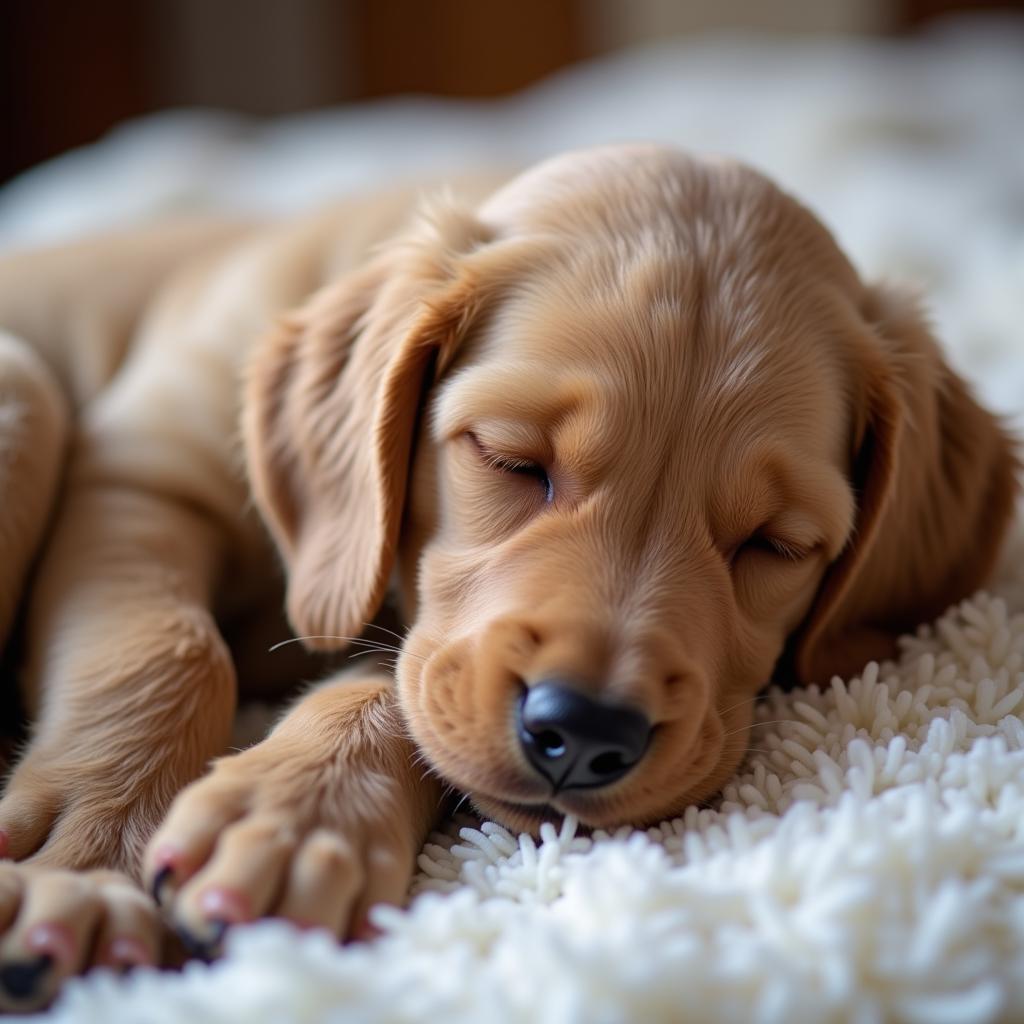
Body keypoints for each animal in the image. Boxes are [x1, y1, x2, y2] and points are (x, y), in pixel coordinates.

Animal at [0, 146, 1015, 1007]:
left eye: (777, 543)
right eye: (510, 459)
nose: (587, 733)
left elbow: (396, 676)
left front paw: (299, 816)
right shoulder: (140, 477)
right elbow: (168, 648)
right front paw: (87, 864)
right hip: (27, 389)